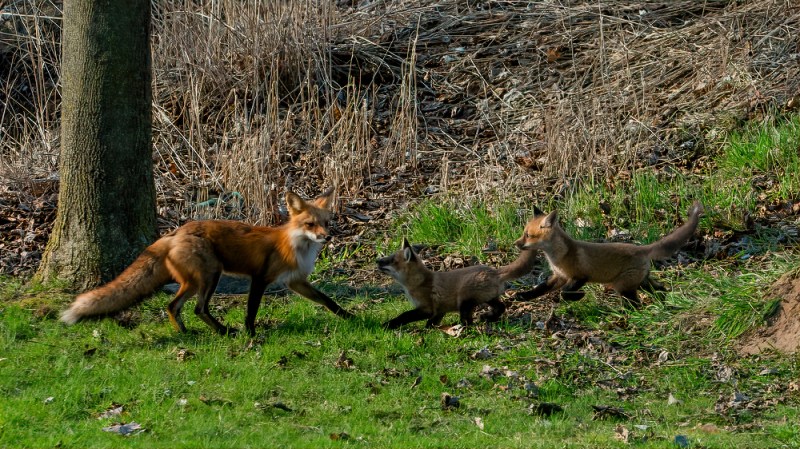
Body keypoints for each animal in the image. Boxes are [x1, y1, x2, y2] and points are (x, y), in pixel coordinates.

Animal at [60, 187, 353, 336]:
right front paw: (250, 333)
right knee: (196, 309)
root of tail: (174, 232)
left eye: (327, 223)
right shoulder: (260, 278)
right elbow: (251, 311)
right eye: (310, 224)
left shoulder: (296, 281)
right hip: (211, 275)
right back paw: (221, 332)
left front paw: (350, 317)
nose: (327, 237)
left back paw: (186, 333)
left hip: (197, 281)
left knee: (174, 306)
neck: (297, 245)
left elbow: (327, 300)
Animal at [377, 238, 538, 329]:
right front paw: (429, 329)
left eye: (391, 260)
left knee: (468, 321)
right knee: (501, 307)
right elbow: (432, 322)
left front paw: (388, 325)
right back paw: (488, 317)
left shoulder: (427, 308)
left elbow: (404, 316)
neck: (418, 283)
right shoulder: (439, 310)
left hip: (464, 301)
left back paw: (464, 327)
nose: (377, 260)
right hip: (489, 299)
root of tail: (494, 270)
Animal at [513, 201, 704, 306]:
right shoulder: (558, 277)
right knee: (660, 289)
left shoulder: (580, 276)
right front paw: (523, 296)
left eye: (528, 235)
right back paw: (662, 305)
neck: (558, 256)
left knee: (636, 304)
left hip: (623, 286)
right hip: (641, 283)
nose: (516, 244)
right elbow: (539, 289)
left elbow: (564, 293)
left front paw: (578, 297)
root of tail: (642, 248)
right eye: (523, 233)